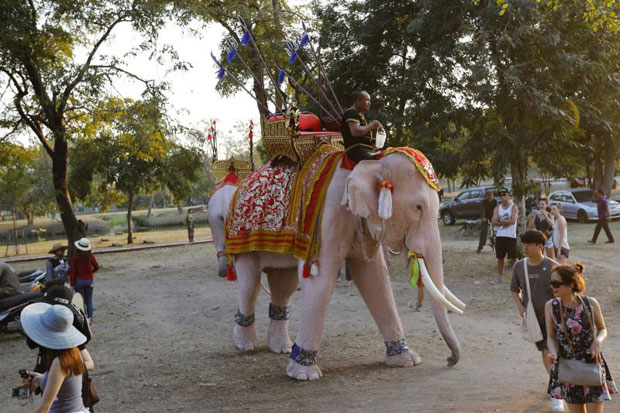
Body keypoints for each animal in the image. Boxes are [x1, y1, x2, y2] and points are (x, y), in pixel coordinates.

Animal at [230, 150, 462, 380]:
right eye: (418, 207)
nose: (449, 360)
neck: (368, 162)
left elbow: (375, 280)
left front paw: (406, 360)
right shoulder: (326, 219)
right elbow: (319, 283)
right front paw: (304, 374)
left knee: (284, 285)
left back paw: (281, 347)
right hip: (242, 242)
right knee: (250, 284)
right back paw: (246, 345)